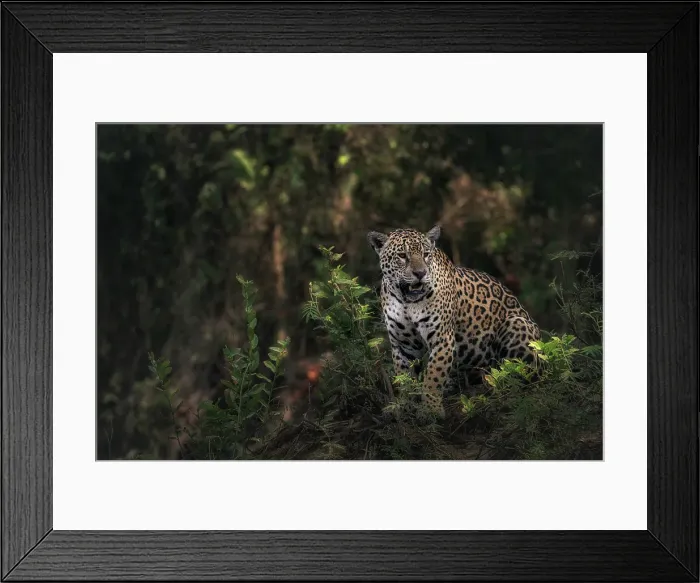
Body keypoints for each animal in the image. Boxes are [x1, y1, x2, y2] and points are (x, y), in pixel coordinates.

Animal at [367, 225, 541, 419]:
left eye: (426, 254)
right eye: (402, 256)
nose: (420, 273)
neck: (407, 302)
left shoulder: (442, 339)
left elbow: (434, 375)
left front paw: (431, 409)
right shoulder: (404, 344)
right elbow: (404, 377)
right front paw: (403, 404)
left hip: (517, 324)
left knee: (528, 373)